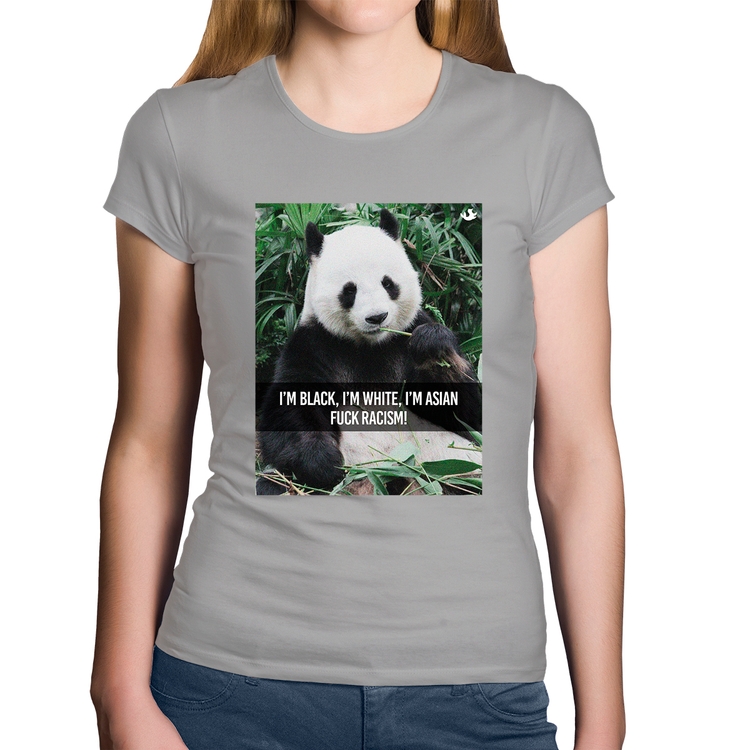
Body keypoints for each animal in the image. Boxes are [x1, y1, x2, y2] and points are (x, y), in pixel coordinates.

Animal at [256, 208, 481, 495]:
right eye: (349, 290)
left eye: (388, 283)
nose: (377, 317)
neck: (370, 347)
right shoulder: (314, 345)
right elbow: (290, 410)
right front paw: (325, 465)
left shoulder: (407, 336)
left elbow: (466, 415)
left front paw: (432, 345)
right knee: (272, 484)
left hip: (455, 467)